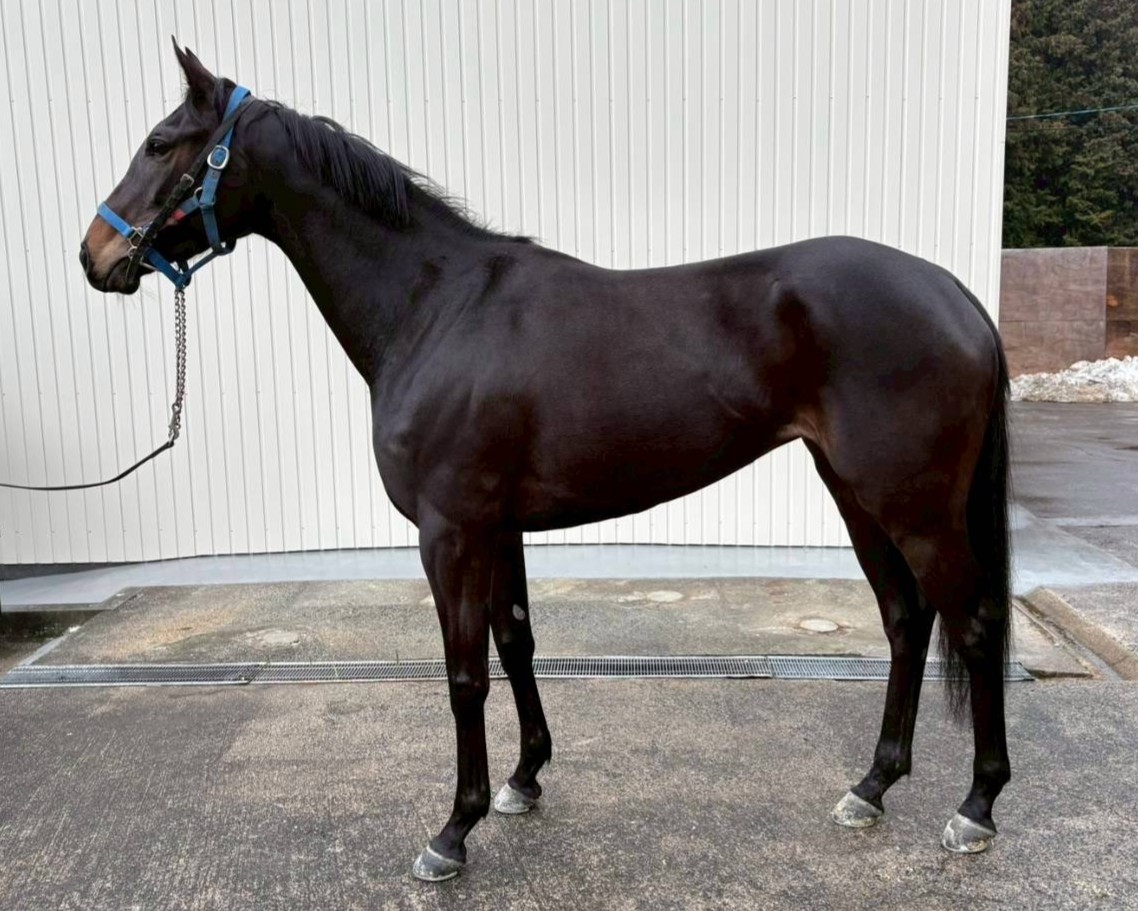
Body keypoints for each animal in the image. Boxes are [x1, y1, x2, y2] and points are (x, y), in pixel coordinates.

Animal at [80, 44, 1012, 881]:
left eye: (161, 142)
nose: (95, 255)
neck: (436, 306)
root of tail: (956, 295)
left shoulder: (450, 532)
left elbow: (464, 672)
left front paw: (452, 832)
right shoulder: (499, 527)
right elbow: (516, 641)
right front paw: (523, 781)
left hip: (913, 506)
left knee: (970, 624)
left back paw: (976, 807)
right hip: (855, 493)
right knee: (905, 620)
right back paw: (872, 786)